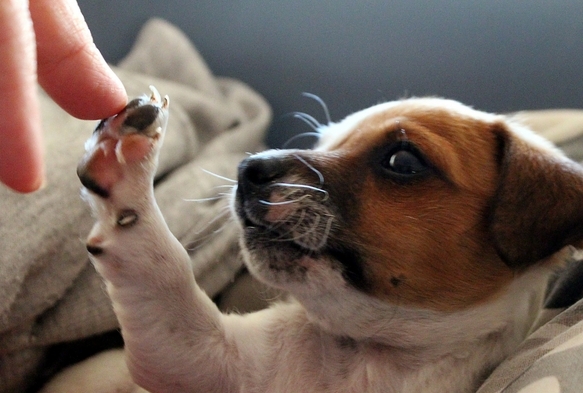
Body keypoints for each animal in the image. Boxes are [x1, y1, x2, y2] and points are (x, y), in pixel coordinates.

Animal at [46, 89, 583, 392]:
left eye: (403, 161)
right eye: (323, 143)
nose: (247, 168)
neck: (367, 353)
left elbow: (160, 264)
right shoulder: (195, 356)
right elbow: (162, 263)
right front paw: (123, 161)